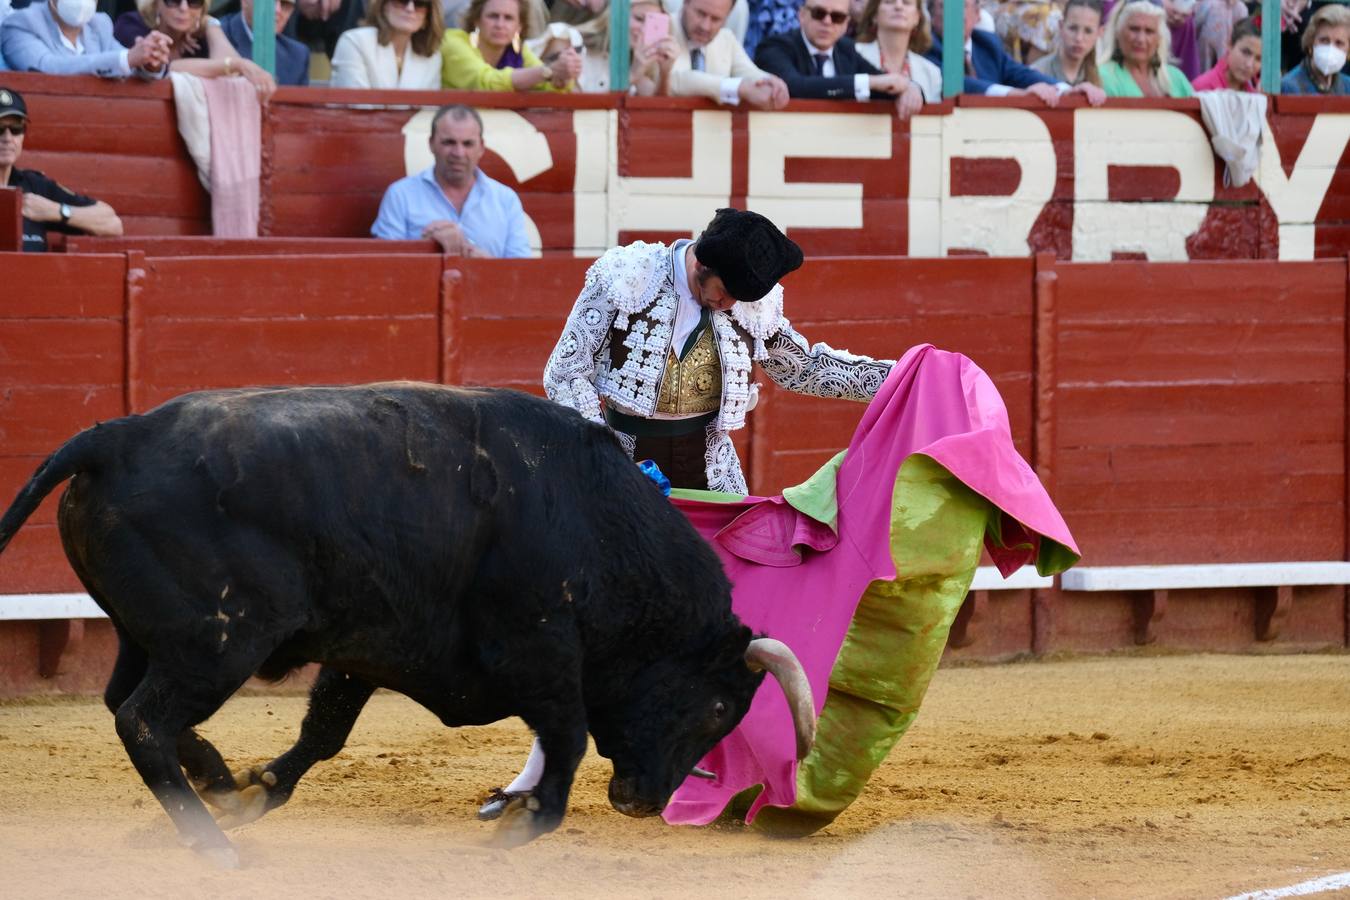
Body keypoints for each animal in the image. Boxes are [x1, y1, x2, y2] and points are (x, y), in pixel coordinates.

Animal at [0, 385, 810, 863]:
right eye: (717, 707)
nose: (642, 802)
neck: (597, 522)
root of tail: (115, 436)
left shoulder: (366, 647)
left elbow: (325, 730)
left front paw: (258, 789)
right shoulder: (540, 645)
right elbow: (569, 735)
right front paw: (523, 822)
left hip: (151, 638)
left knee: (129, 705)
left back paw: (218, 786)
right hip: (218, 644)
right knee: (141, 720)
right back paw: (213, 845)